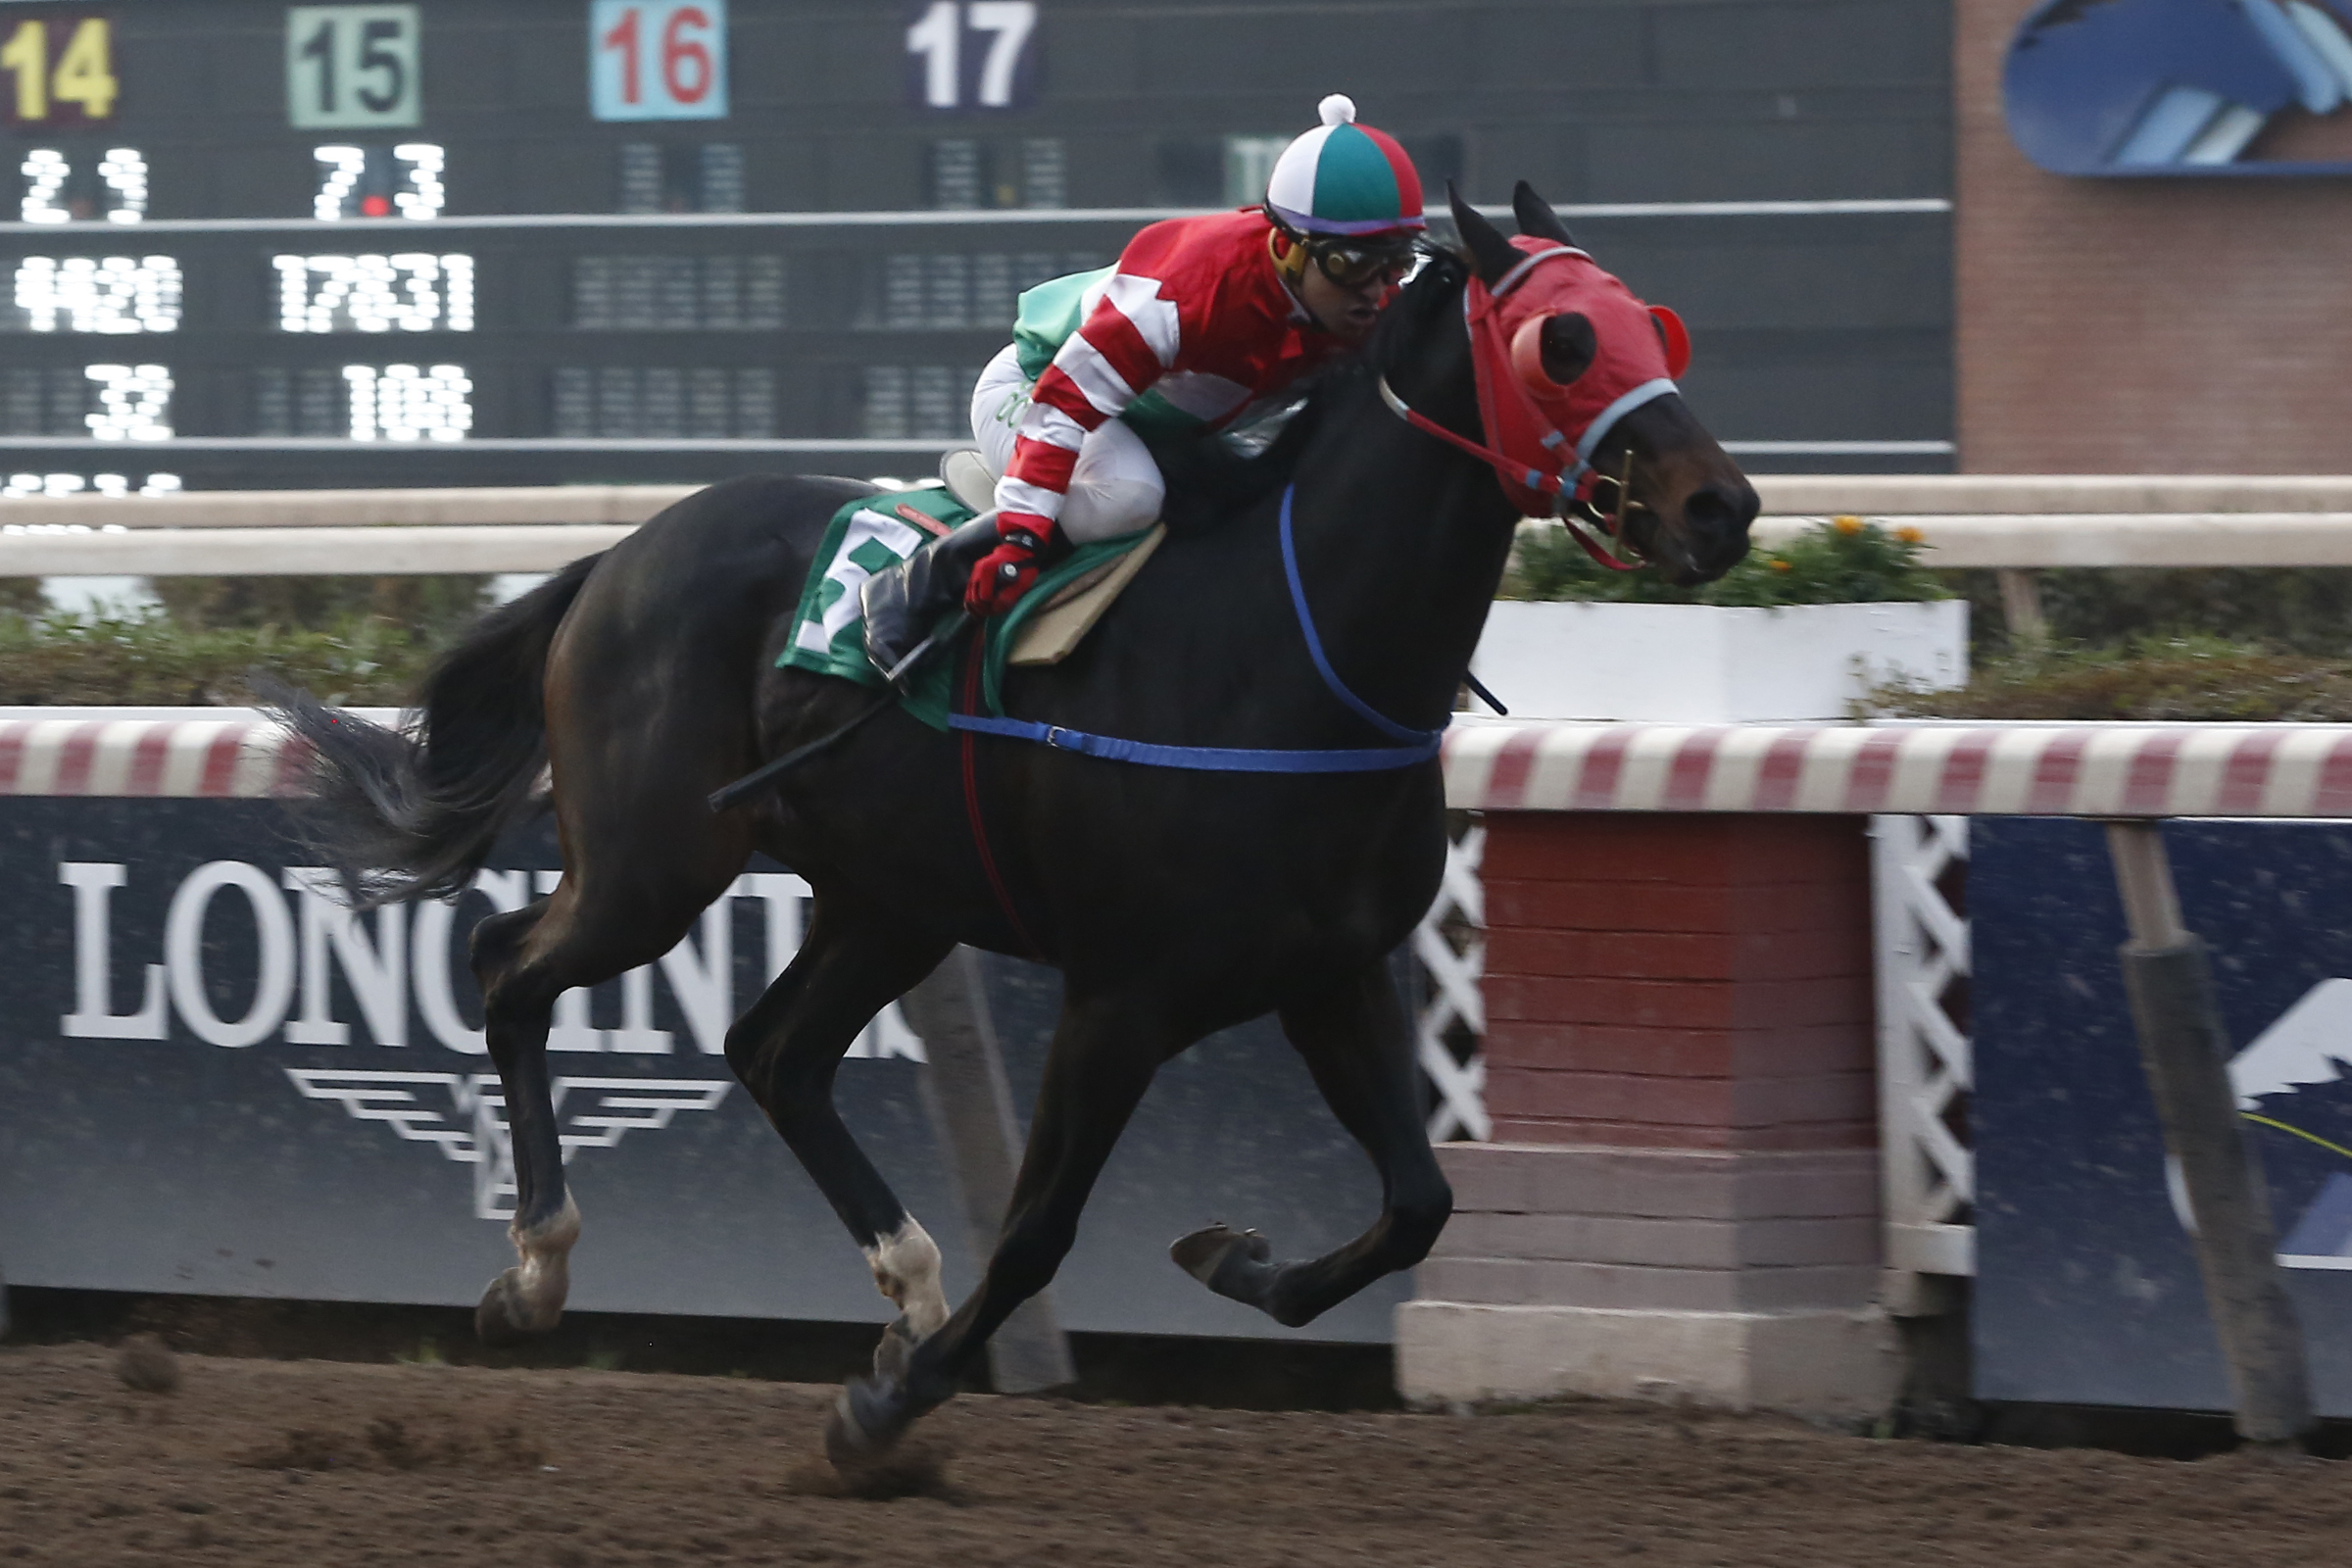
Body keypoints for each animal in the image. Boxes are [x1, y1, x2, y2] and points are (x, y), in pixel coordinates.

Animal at [268, 183, 1759, 1466]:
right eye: (1564, 343)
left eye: (1652, 321)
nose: (1723, 505)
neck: (1293, 651)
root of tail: (615, 559)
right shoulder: (1121, 996)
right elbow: (1040, 1230)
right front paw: (884, 1415)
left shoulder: (1332, 974)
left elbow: (1417, 1205)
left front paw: (1232, 1258)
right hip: (658, 863)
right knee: (509, 968)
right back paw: (536, 1269)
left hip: (892, 899)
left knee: (773, 1052)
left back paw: (906, 1283)